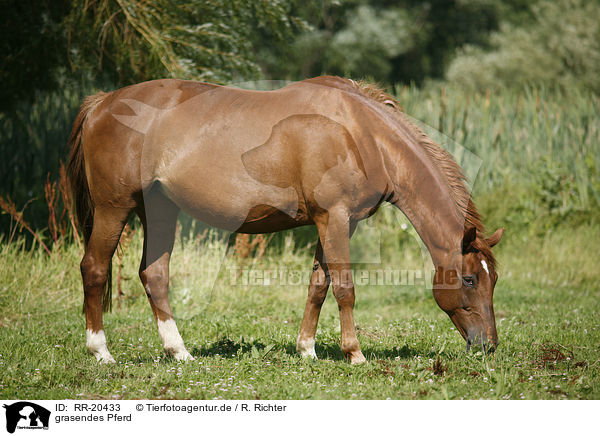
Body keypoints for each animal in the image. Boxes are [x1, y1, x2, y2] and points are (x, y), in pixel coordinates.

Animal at [68, 76, 504, 364]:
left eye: (493, 279)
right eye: (469, 279)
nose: (489, 345)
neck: (360, 133)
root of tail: (102, 102)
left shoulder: (336, 222)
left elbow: (318, 285)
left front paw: (307, 350)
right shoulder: (335, 217)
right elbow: (344, 287)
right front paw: (355, 353)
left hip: (159, 211)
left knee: (154, 275)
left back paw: (179, 352)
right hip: (114, 208)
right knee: (94, 268)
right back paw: (101, 352)